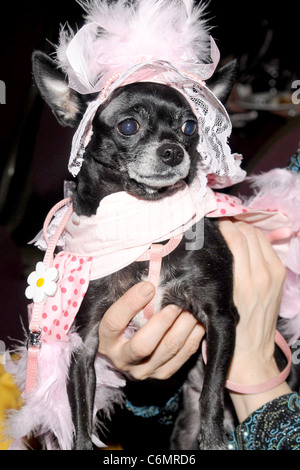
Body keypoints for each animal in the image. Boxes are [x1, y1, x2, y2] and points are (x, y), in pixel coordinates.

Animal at [31, 49, 239, 450]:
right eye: (129, 126)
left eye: (191, 127)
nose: (173, 151)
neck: (145, 228)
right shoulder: (85, 345)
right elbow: (81, 416)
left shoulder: (221, 318)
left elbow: (213, 391)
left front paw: (214, 438)